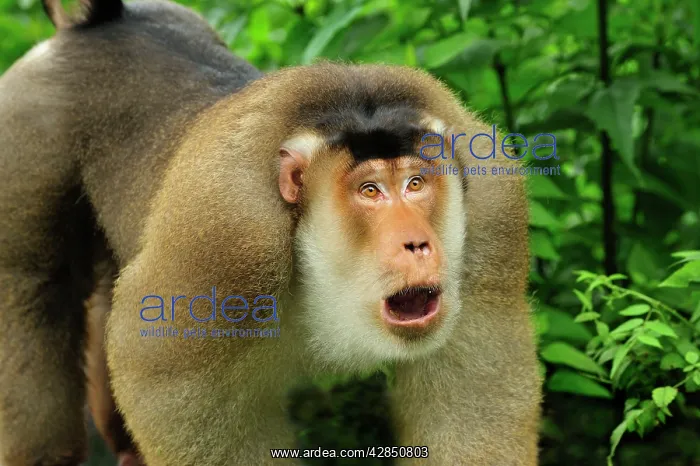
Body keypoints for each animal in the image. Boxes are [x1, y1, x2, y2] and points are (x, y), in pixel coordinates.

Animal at [0, 0, 542, 464]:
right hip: (29, 123)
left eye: (415, 184)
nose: (418, 243)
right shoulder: (227, 234)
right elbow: (155, 371)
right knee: (31, 287)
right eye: (369, 191)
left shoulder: (493, 207)